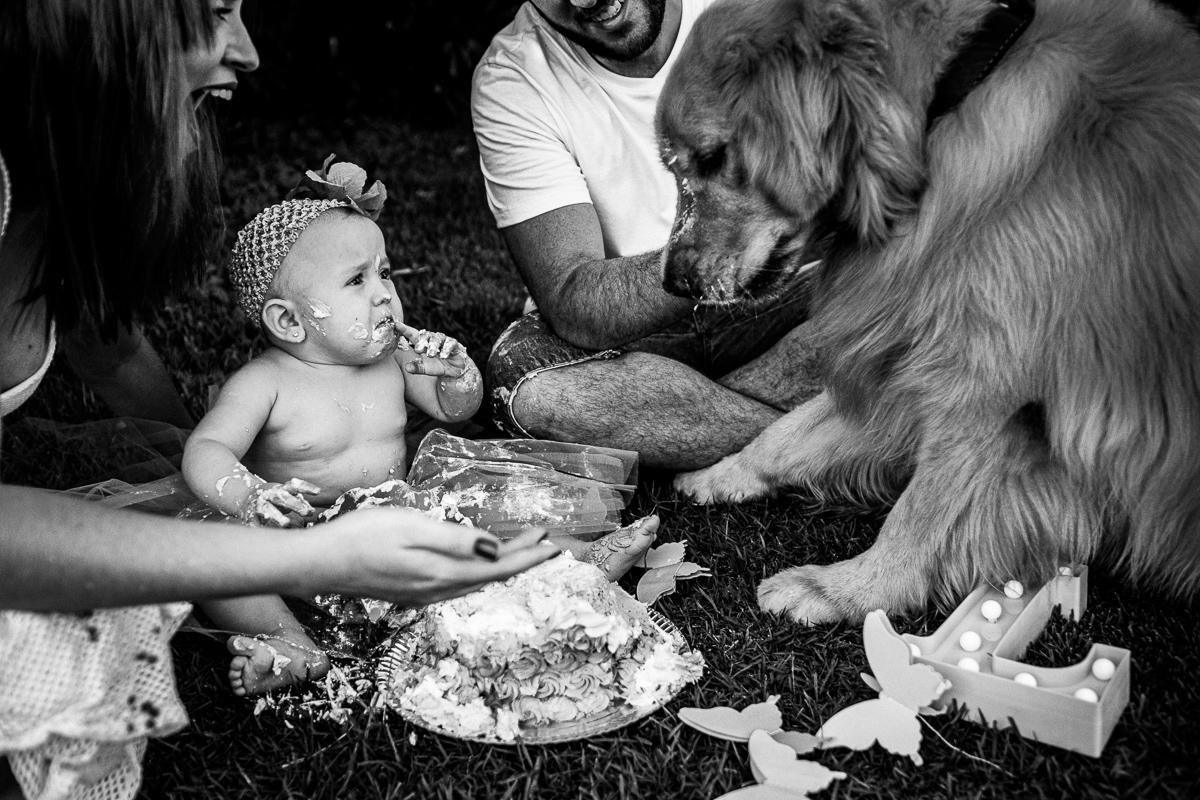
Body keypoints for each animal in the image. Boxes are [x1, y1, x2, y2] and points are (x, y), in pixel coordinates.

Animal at [662, 0, 1200, 623]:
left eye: (713, 157)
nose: (671, 281)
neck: (947, 103)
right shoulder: (908, 354)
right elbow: (787, 431)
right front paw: (719, 474)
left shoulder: (985, 393)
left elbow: (920, 515)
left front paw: (846, 592)